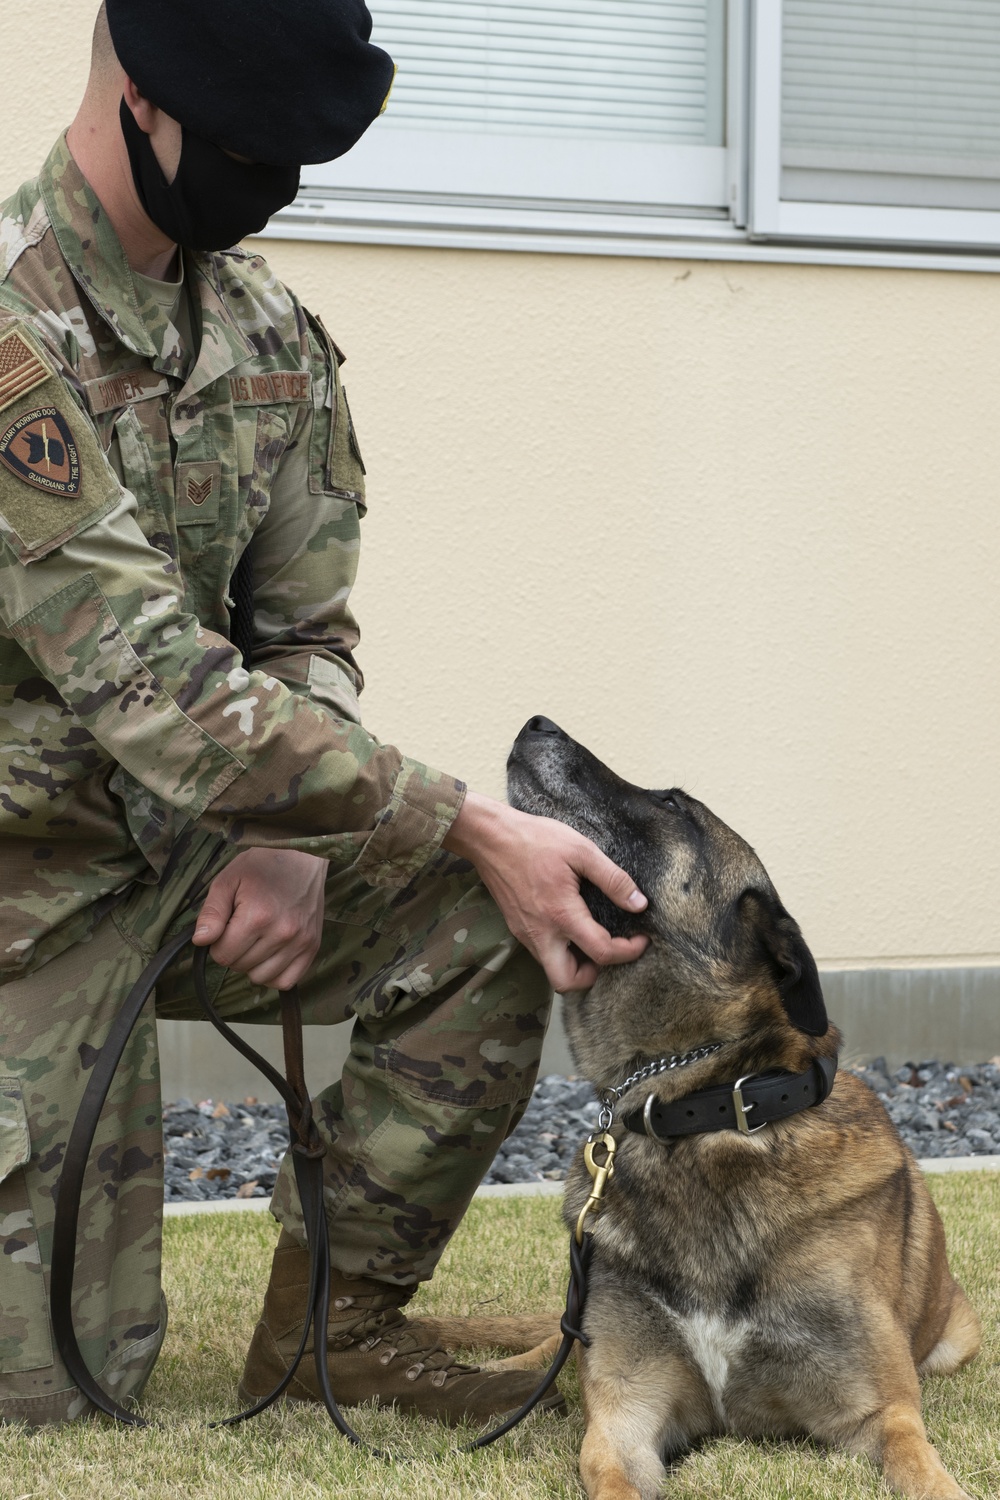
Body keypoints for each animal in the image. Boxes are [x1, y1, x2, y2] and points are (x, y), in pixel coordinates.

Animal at [431, 717, 977, 1500]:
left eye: (673, 804)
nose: (538, 723)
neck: (708, 1112)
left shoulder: (883, 1413)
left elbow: (924, 1472)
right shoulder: (623, 1420)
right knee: (545, 1350)